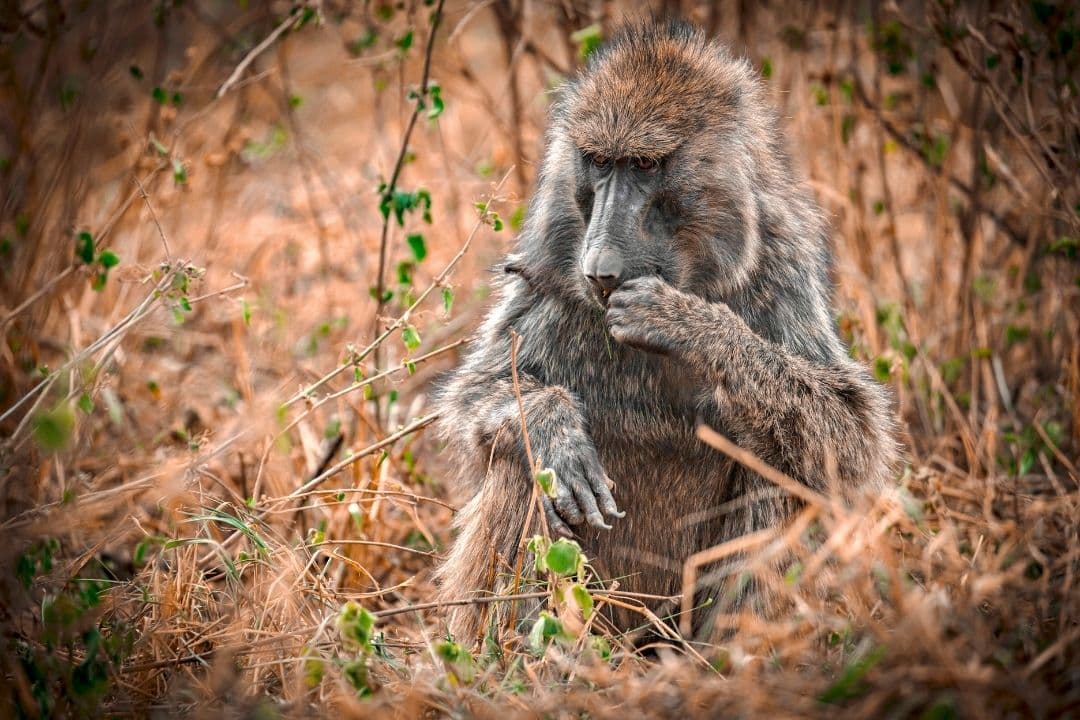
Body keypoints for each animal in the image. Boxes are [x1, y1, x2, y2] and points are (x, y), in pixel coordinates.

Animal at [434, 20, 898, 642]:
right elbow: (475, 399)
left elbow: (851, 433)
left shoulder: (783, 263)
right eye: (599, 162)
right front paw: (555, 428)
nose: (599, 270)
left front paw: (684, 323)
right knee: (520, 464)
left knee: (781, 464)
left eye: (646, 167)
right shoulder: (542, 277)